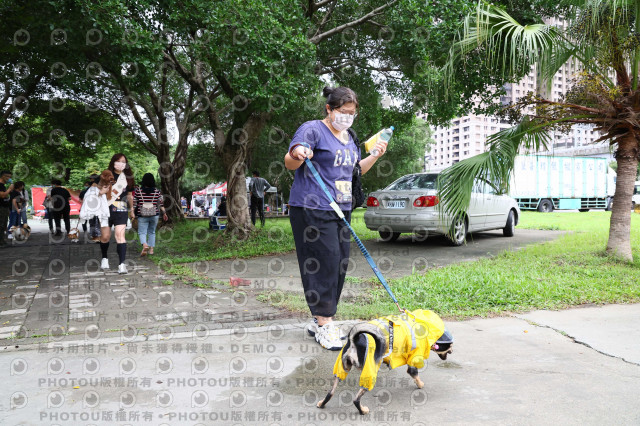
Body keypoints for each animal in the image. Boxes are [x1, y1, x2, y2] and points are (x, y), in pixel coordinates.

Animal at [318, 310, 452, 416]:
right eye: (450, 347)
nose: (451, 352)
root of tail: (355, 339)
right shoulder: (414, 360)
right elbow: (415, 374)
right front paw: (420, 385)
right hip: (370, 369)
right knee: (356, 399)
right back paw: (363, 411)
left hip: (341, 368)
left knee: (331, 391)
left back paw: (322, 403)